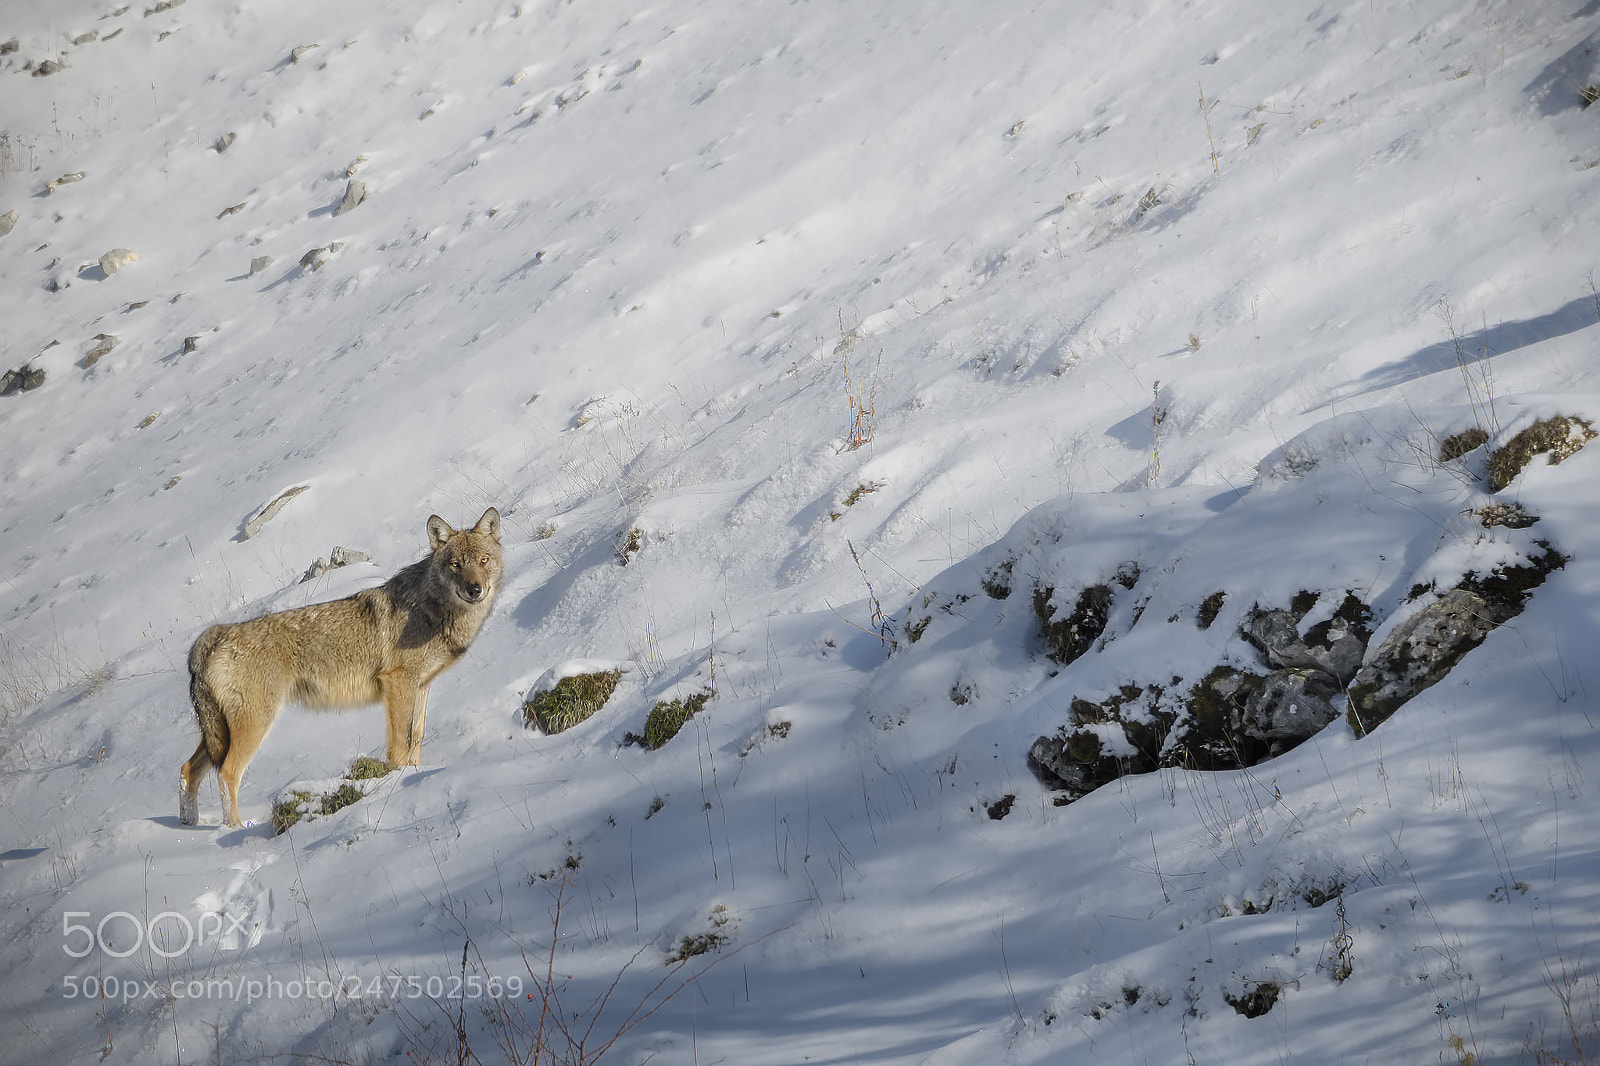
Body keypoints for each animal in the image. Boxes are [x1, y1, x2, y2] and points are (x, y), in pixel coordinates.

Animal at [179, 508, 502, 828]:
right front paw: (397, 781)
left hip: (218, 735)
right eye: (455, 564)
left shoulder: (421, 686)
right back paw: (233, 829)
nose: (475, 590)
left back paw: (189, 825)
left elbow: (417, 739)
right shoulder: (397, 684)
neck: (432, 609)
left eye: (483, 561)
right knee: (226, 774)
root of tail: (213, 637)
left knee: (186, 770)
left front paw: (413, 774)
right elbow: (400, 745)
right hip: (253, 725)